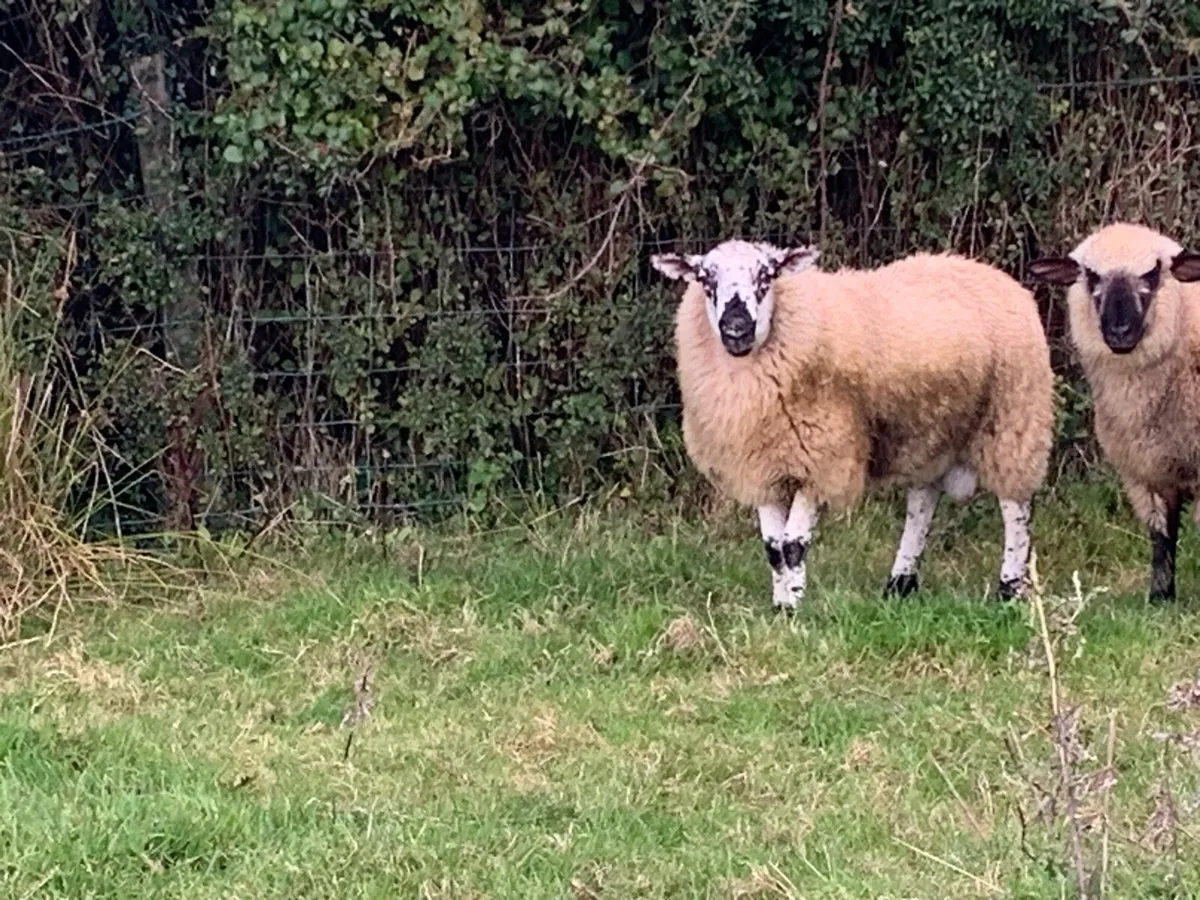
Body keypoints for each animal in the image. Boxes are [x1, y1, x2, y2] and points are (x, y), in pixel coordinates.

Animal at [651, 239, 1054, 611]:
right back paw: (900, 583)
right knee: (922, 502)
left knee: (1016, 508)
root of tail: (995, 275)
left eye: (767, 276)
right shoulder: (760, 467)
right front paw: (780, 605)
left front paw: (793, 611)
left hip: (1013, 419)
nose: (736, 329)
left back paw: (1009, 589)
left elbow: (793, 546)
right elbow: (773, 549)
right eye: (705, 279)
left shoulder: (822, 459)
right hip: (932, 433)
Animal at [1029, 222, 1200, 602]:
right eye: (1091, 276)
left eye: (1153, 273)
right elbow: (1161, 535)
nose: (1120, 332)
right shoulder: (1145, 470)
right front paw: (1160, 596)